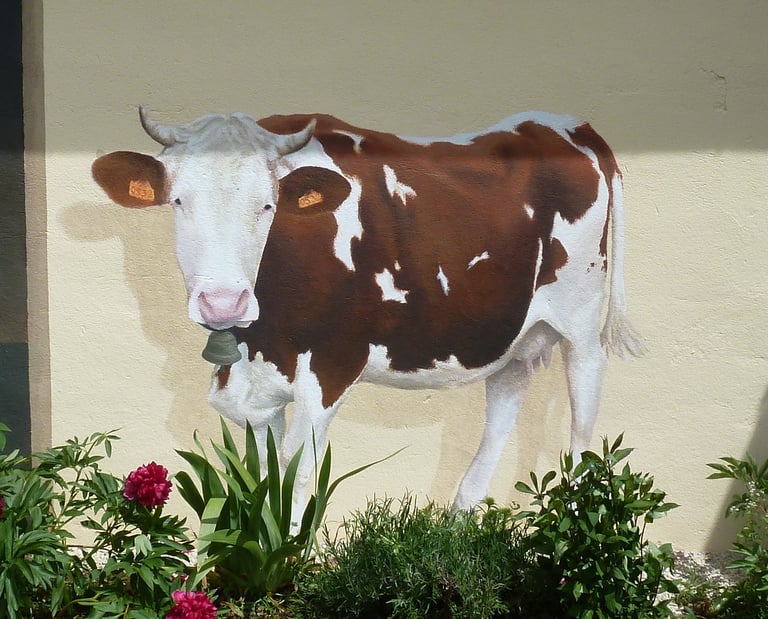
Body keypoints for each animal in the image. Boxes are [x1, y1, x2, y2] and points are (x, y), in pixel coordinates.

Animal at [92, 107, 643, 513]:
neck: (261, 337)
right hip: (508, 331)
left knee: (584, 421)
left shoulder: (332, 364)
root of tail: (565, 123)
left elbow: (295, 482)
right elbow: (262, 484)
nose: (224, 301)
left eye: (267, 205)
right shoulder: (254, 390)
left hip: (581, 320)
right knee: (505, 404)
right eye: (178, 201)